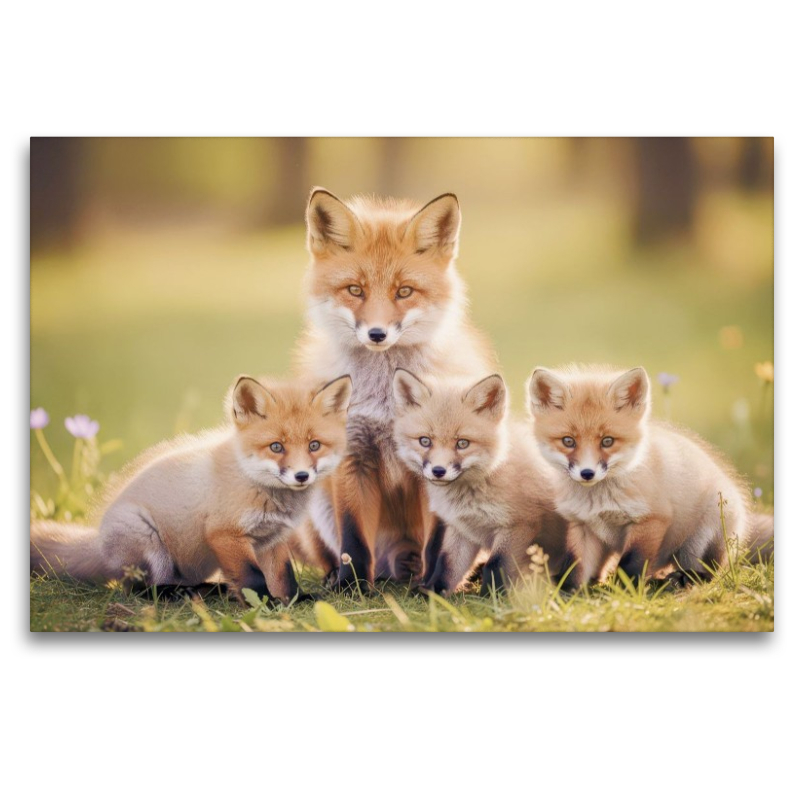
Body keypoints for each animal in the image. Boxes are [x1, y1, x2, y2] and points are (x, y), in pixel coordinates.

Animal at [30, 375, 352, 604]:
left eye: (314, 445)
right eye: (276, 447)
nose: (301, 476)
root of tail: (98, 543)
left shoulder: (272, 539)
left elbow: (284, 576)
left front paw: (296, 600)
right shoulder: (225, 534)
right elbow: (253, 577)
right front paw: (264, 603)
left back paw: (211, 590)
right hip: (150, 544)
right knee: (139, 589)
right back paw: (179, 595)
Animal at [294, 188, 496, 589]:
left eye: (404, 291)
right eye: (355, 290)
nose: (377, 334)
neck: (385, 398)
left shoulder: (435, 464)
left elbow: (438, 539)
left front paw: (432, 586)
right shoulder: (353, 456)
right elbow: (352, 538)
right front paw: (352, 585)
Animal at [392, 369, 570, 595]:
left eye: (462, 443)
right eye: (425, 441)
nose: (439, 471)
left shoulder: (519, 525)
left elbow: (496, 565)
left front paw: (492, 596)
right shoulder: (461, 529)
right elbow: (447, 565)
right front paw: (433, 592)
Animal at [527, 364, 774, 587]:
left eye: (607, 441)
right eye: (568, 441)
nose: (587, 473)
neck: (598, 501)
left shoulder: (652, 519)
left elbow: (630, 563)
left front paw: (625, 592)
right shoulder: (583, 526)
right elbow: (575, 567)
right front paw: (567, 593)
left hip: (703, 535)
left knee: (710, 572)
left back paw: (683, 578)